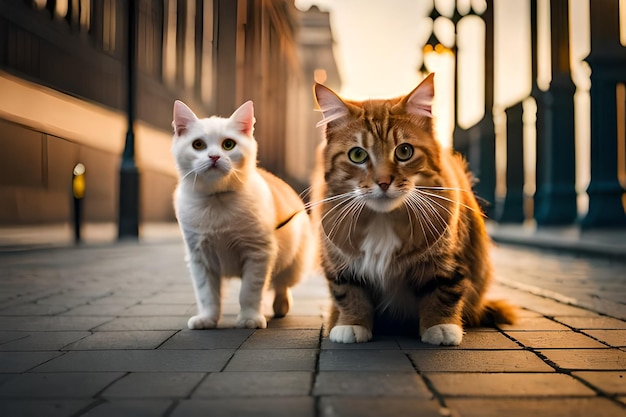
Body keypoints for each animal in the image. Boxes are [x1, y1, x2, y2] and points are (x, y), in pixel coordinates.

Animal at [171, 100, 310, 328]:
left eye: (228, 144)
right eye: (198, 145)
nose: (214, 156)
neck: (217, 201)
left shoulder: (258, 253)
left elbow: (249, 291)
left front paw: (249, 318)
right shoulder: (200, 258)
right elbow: (207, 294)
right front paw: (207, 318)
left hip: (292, 266)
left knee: (281, 285)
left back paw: (280, 306)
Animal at [310, 74, 516, 344]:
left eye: (404, 151)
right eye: (357, 155)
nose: (383, 182)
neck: (383, 220)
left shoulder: (447, 260)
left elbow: (443, 292)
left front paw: (440, 327)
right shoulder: (340, 265)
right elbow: (349, 294)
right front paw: (350, 324)